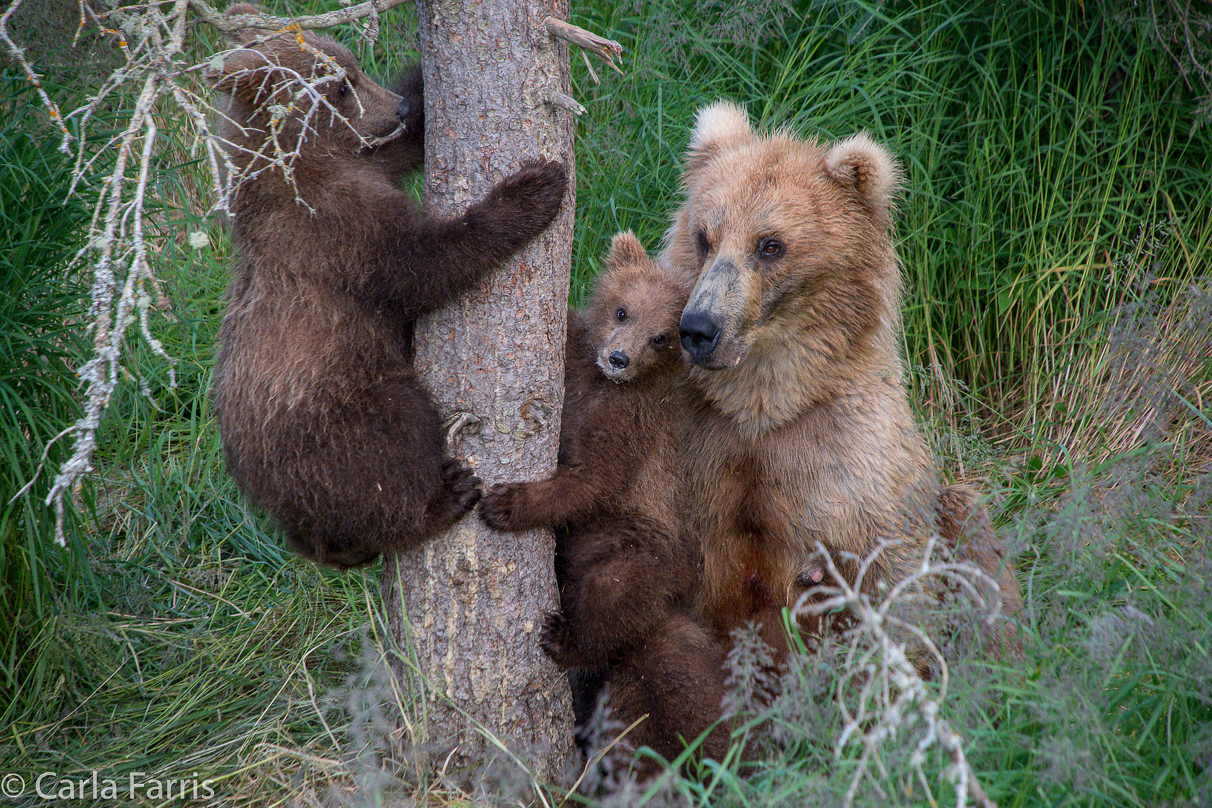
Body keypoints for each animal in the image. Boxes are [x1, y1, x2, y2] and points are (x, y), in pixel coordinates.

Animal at [208, 4, 567, 569]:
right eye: (341, 85)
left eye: (355, 68)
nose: (393, 108)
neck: (300, 164)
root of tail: (288, 521)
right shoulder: (332, 231)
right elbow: (424, 264)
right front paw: (532, 189)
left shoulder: (365, 164)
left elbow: (405, 147)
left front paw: (420, 82)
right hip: (338, 419)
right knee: (395, 444)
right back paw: (444, 497)